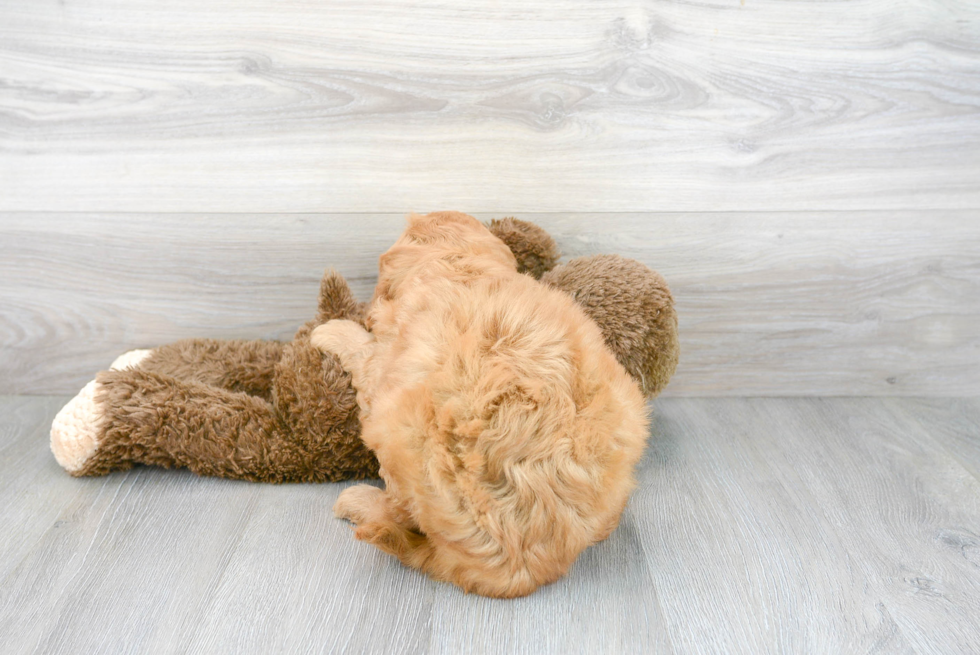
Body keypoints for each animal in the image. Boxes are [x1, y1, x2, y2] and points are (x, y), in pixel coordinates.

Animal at [314, 211, 652, 600]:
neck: (460, 266)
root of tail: (519, 570)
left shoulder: (384, 363)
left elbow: (362, 351)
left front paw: (331, 331)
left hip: (399, 434)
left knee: (400, 511)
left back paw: (358, 501)